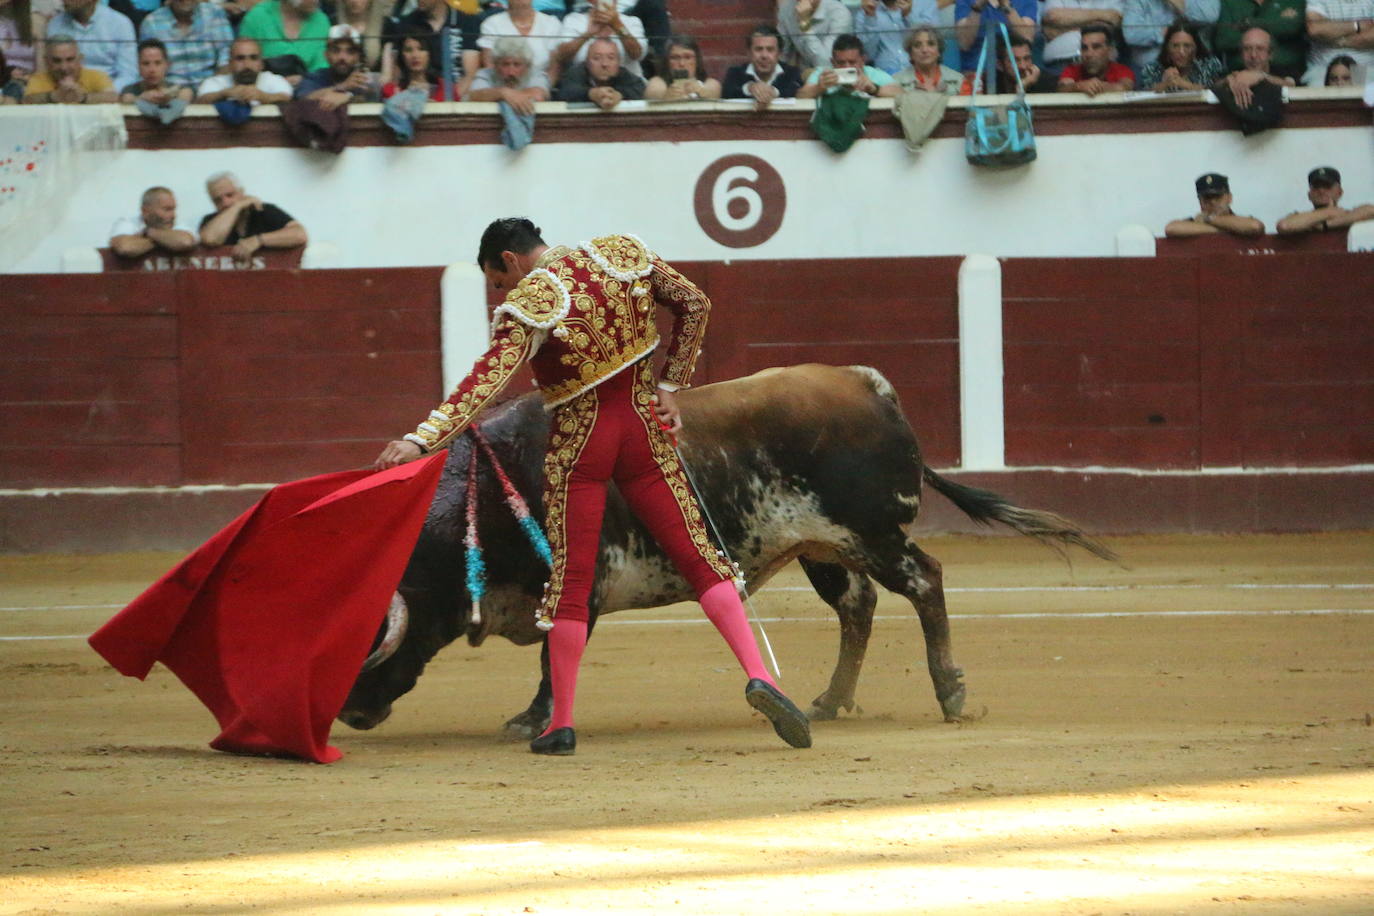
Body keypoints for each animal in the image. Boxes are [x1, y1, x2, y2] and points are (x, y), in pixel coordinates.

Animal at [340, 365, 1115, 736]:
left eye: (376, 645)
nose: (348, 713)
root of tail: (870, 386)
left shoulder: (576, 584)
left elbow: (554, 654)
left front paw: (532, 719)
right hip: (822, 547)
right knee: (858, 607)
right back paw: (831, 700)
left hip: (872, 535)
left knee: (923, 581)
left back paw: (950, 692)